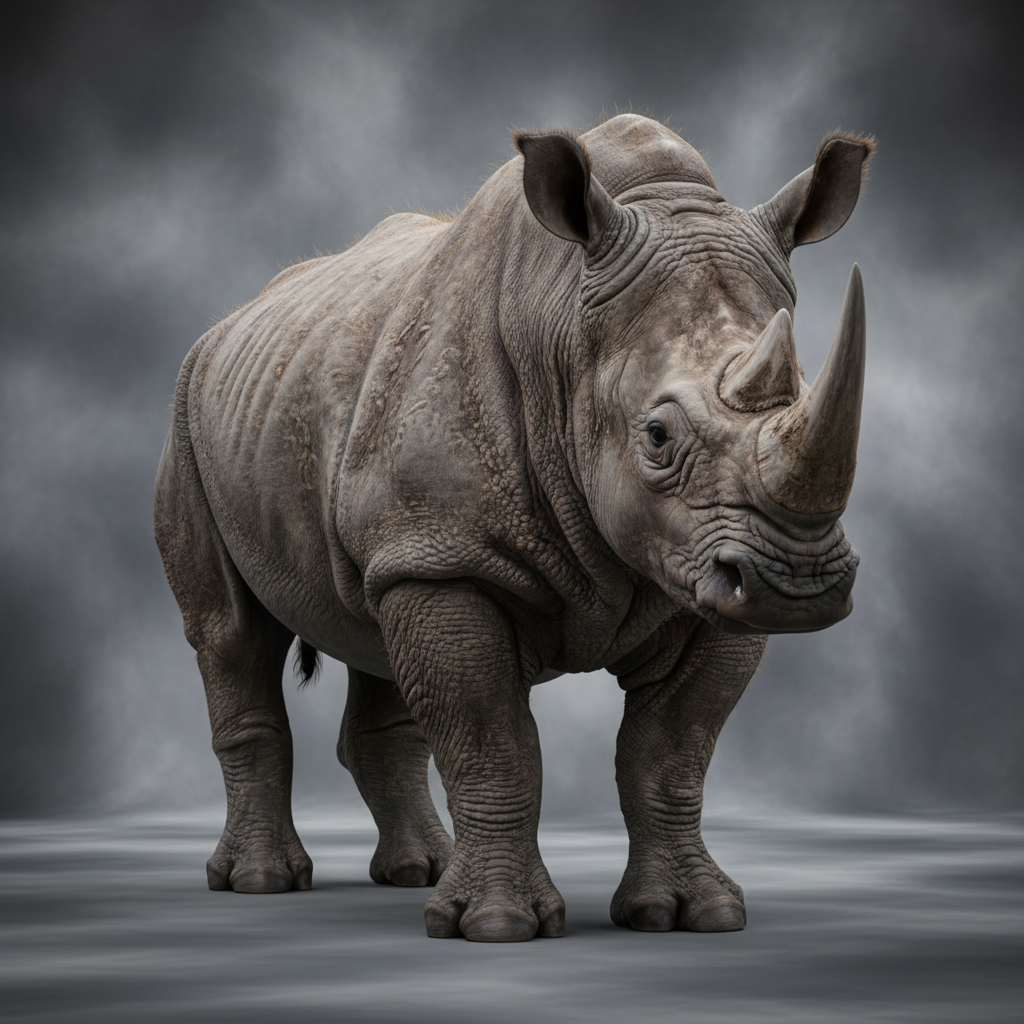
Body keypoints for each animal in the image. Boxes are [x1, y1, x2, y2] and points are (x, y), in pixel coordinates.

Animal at [155, 114, 874, 942]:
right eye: (657, 437)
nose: (799, 585)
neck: (564, 323)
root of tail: (230, 322)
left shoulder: (702, 573)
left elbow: (671, 754)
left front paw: (695, 913)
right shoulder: (449, 557)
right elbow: (491, 743)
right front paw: (496, 926)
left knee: (372, 628)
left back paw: (416, 872)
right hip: (189, 412)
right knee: (232, 635)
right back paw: (262, 882)